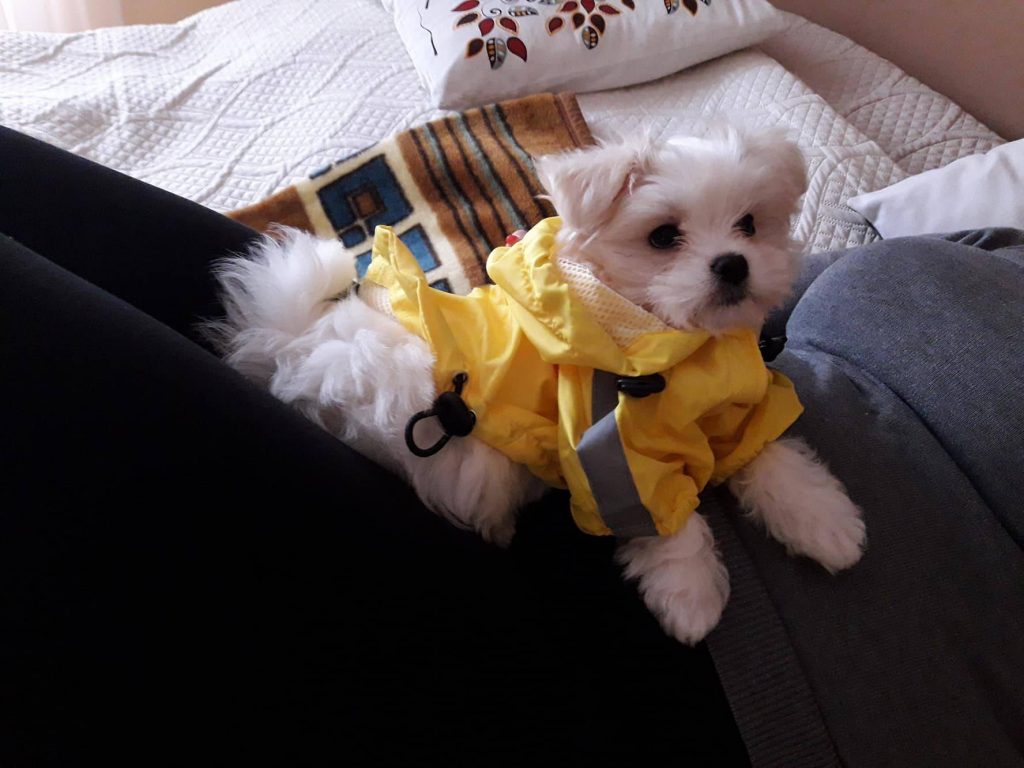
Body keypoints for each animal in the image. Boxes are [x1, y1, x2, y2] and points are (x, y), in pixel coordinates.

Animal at [213, 125, 866, 644]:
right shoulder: (608, 448)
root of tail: (299, 342)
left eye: (750, 224)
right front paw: (691, 598)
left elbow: (772, 454)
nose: (733, 264)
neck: (668, 340)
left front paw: (826, 524)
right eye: (663, 236)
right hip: (455, 451)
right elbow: (660, 518)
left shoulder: (737, 407)